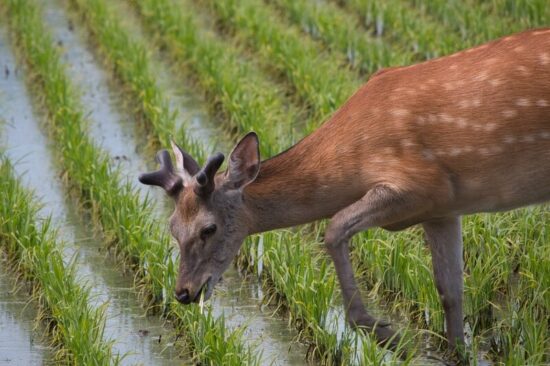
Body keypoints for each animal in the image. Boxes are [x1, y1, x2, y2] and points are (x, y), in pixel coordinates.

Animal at [139, 28, 550, 358]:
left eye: (208, 228)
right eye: (172, 227)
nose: (182, 292)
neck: (353, 158)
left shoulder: (419, 182)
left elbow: (334, 227)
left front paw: (385, 332)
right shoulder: (443, 208)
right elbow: (450, 292)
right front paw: (453, 352)